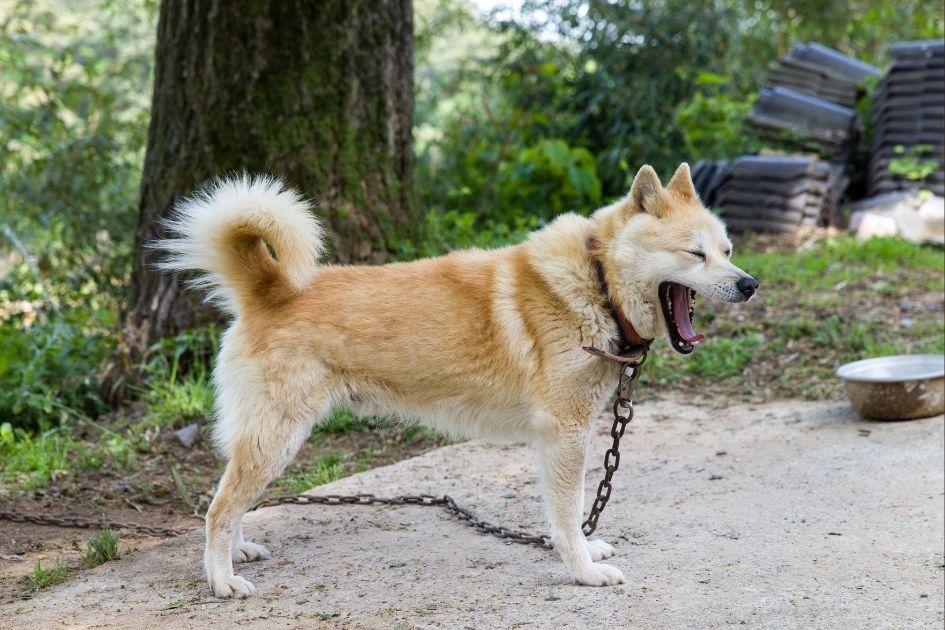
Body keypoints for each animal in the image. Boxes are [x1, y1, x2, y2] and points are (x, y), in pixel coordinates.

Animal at [157, 162, 760, 596]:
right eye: (695, 254)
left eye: (727, 251)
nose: (750, 284)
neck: (598, 283)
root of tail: (271, 288)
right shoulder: (564, 434)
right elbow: (568, 513)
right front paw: (584, 570)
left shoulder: (571, 434)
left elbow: (576, 507)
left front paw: (588, 551)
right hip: (277, 437)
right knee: (218, 508)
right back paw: (221, 579)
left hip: (268, 440)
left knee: (231, 501)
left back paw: (238, 551)